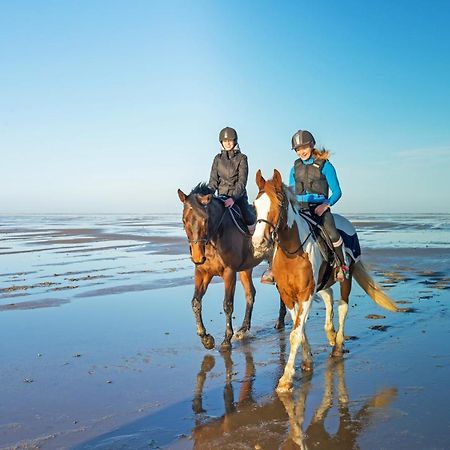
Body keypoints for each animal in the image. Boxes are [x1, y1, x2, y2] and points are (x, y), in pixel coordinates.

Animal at [178, 183, 266, 352]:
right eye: (184, 220)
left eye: (205, 220)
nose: (198, 257)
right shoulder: (202, 272)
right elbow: (196, 302)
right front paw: (206, 339)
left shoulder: (229, 273)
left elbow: (227, 305)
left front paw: (226, 340)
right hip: (246, 269)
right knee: (250, 294)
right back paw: (243, 330)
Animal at [251, 171, 402, 392]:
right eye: (255, 204)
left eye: (278, 203)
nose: (258, 243)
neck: (292, 252)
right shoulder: (288, 295)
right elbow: (300, 329)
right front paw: (307, 361)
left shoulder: (306, 293)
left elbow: (296, 333)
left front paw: (286, 379)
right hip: (321, 284)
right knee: (329, 296)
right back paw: (330, 334)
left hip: (346, 276)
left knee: (342, 306)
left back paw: (337, 345)